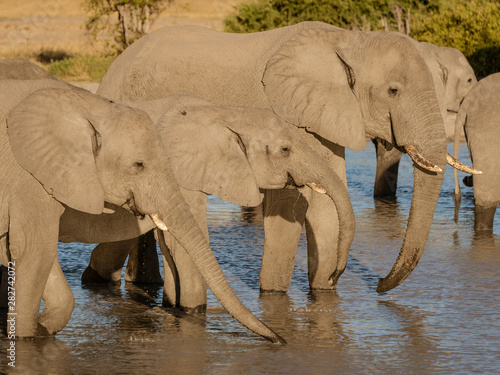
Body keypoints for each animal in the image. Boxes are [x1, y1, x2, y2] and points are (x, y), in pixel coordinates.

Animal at [0, 78, 284, 346]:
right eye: (139, 165)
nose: (280, 340)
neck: (88, 107)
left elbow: (24, 251)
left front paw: (41, 327)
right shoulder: (29, 176)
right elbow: (35, 249)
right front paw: (25, 337)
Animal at [74, 95, 356, 312]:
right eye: (285, 149)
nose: (333, 277)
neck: (228, 114)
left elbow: (172, 241)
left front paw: (174, 307)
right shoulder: (178, 170)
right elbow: (185, 239)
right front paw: (194, 311)